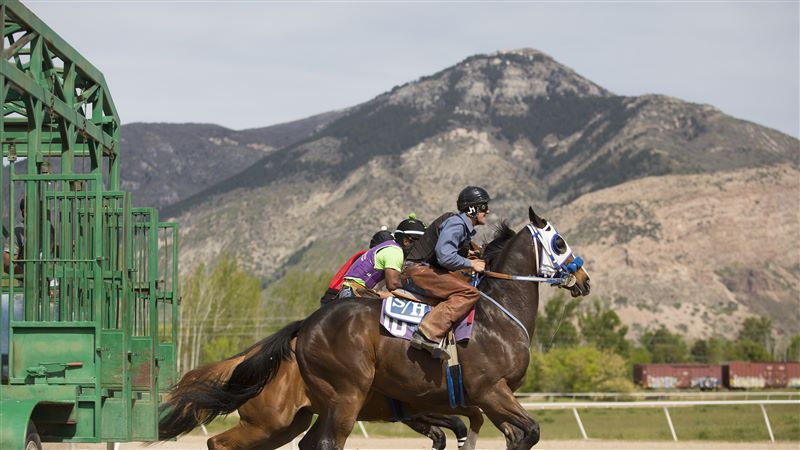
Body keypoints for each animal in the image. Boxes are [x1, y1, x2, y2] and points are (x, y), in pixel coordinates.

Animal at [159, 318, 467, 450]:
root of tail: (249, 355)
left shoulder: (415, 412)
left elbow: (449, 431)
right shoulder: (413, 410)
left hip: (288, 425)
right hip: (269, 423)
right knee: (217, 442)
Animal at [210, 207, 591, 450]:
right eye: (559, 242)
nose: (585, 279)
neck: (498, 317)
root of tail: (305, 326)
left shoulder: (480, 400)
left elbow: (505, 434)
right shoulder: (489, 390)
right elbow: (530, 432)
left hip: (302, 415)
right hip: (336, 399)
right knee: (321, 443)